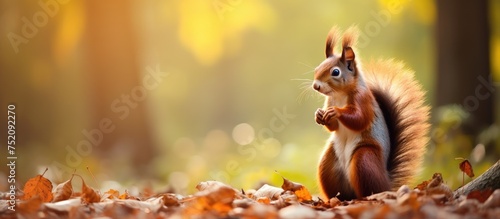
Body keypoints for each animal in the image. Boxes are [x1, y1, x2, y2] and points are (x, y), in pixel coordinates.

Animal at [312, 26, 430, 201]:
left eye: (335, 72)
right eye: (317, 68)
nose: (316, 86)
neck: (340, 95)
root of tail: (386, 182)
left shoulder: (363, 100)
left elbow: (360, 119)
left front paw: (336, 112)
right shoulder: (330, 100)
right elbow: (333, 127)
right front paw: (319, 115)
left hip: (364, 158)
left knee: (370, 187)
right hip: (328, 163)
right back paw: (337, 199)